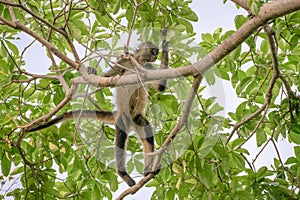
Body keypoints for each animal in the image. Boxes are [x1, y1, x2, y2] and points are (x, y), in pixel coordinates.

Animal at [27, 35, 169, 187]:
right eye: (154, 51)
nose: (156, 56)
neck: (138, 63)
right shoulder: (123, 62)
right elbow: (104, 80)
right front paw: (91, 72)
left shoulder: (147, 67)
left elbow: (160, 86)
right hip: (123, 119)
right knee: (121, 140)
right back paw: (124, 174)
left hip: (138, 119)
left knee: (146, 134)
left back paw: (148, 169)